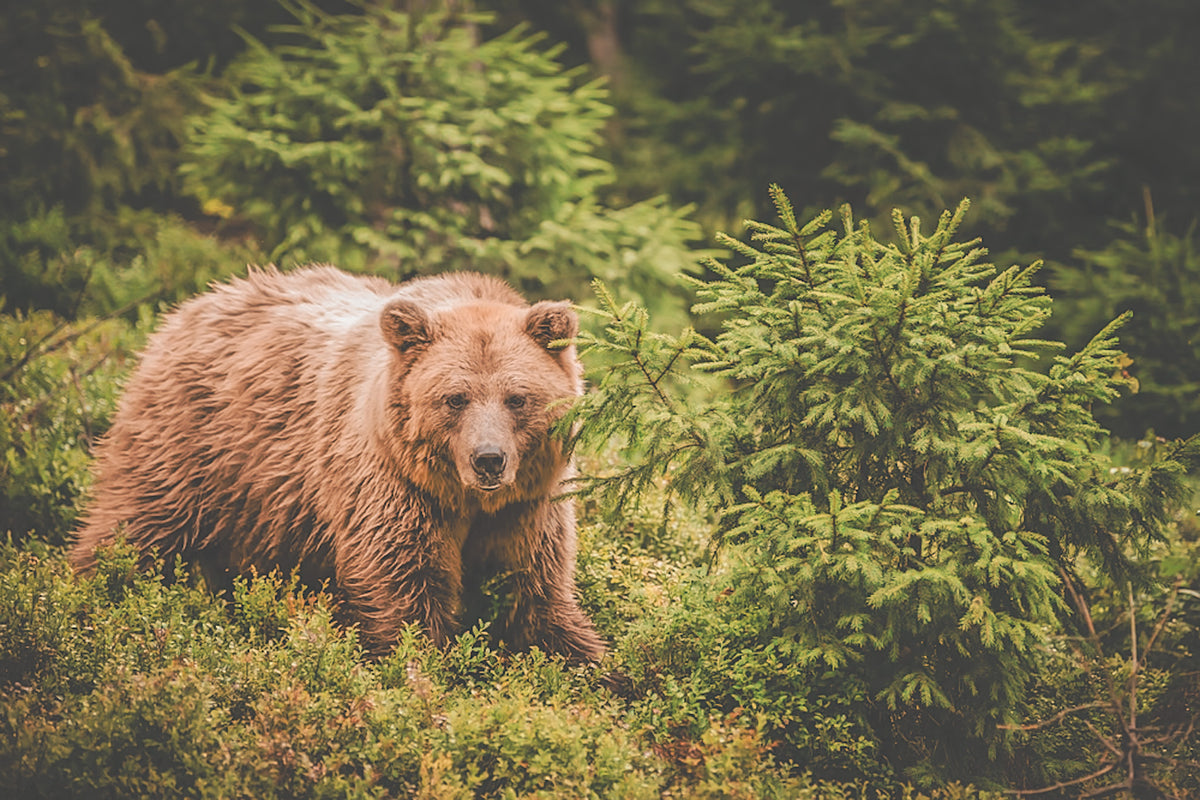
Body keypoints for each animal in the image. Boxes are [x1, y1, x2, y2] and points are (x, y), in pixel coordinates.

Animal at [70, 265, 606, 662]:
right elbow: (403, 585)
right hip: (194, 445)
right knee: (134, 525)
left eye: (518, 398)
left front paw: (593, 664)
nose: (489, 460)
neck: (463, 499)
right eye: (455, 398)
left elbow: (534, 592)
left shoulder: (527, 506)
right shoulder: (393, 486)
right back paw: (90, 591)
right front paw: (419, 665)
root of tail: (189, 305)